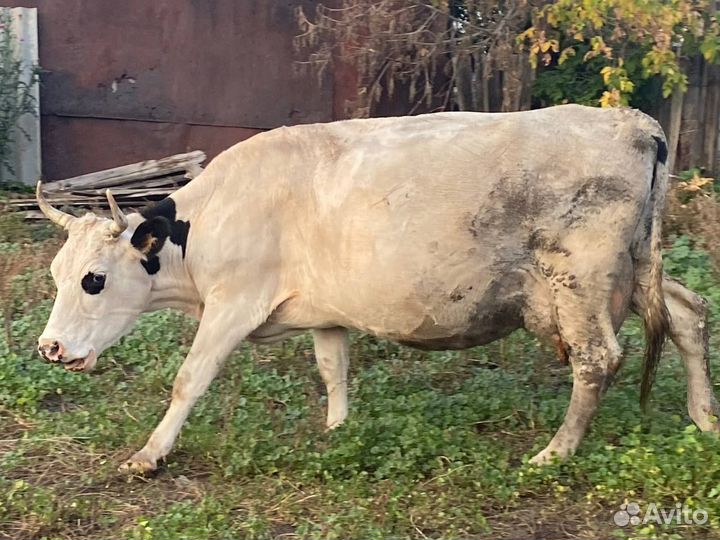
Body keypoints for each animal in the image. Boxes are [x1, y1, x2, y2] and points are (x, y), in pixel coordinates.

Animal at [35, 105, 719, 473]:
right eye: (56, 275)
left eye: (94, 280)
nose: (49, 348)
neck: (208, 221)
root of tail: (631, 121)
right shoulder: (323, 310)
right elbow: (332, 368)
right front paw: (338, 431)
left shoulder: (234, 304)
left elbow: (189, 379)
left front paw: (148, 455)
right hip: (634, 270)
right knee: (688, 311)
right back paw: (705, 419)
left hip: (581, 280)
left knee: (597, 359)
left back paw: (556, 452)